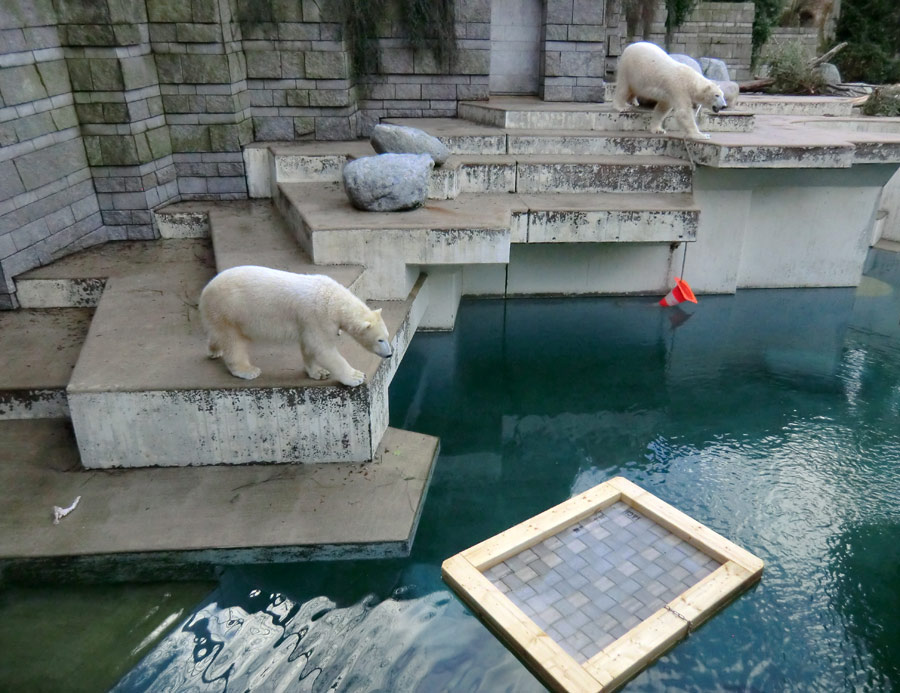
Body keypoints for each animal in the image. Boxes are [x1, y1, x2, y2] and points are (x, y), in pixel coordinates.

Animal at [200, 264, 390, 384]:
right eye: (380, 339)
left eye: (387, 337)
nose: (389, 354)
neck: (333, 299)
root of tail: (205, 290)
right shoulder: (317, 316)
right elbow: (323, 348)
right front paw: (356, 376)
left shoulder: (307, 322)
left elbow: (309, 346)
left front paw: (319, 372)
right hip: (229, 310)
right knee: (234, 342)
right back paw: (248, 370)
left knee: (219, 334)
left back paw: (214, 351)